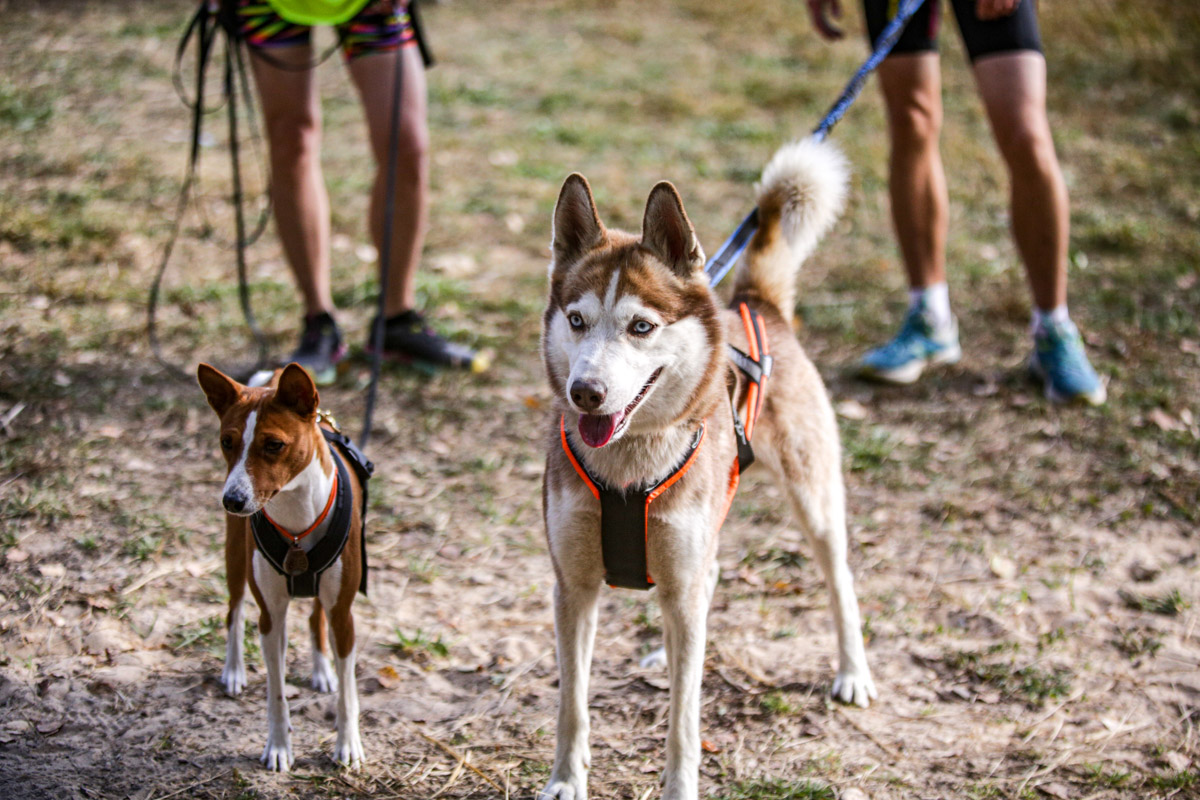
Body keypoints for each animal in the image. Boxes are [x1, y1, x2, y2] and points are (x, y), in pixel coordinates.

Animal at [196, 362, 367, 767]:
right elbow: (276, 693)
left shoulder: (344, 614)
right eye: (227, 442)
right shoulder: (270, 616)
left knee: (315, 616)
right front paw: (278, 746)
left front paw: (348, 744)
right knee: (234, 611)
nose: (232, 500)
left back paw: (322, 670)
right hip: (236, 559)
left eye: (273, 445)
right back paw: (234, 670)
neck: (296, 523)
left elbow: (348, 694)